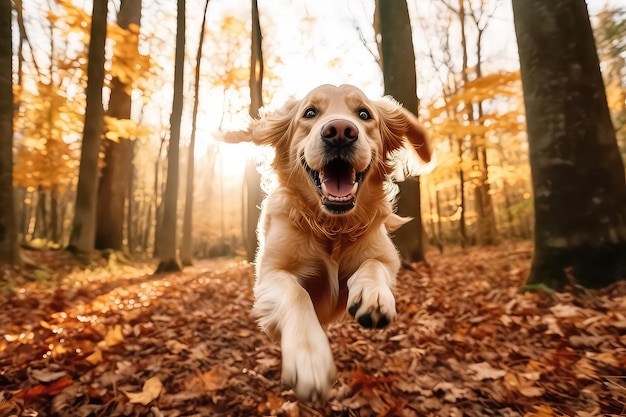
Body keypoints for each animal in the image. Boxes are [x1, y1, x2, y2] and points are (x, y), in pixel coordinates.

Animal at [223, 83, 428, 400]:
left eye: (364, 114)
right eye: (310, 113)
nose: (341, 131)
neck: (332, 227)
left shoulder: (385, 257)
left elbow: (373, 264)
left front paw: (373, 296)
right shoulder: (270, 274)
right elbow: (296, 293)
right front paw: (309, 356)